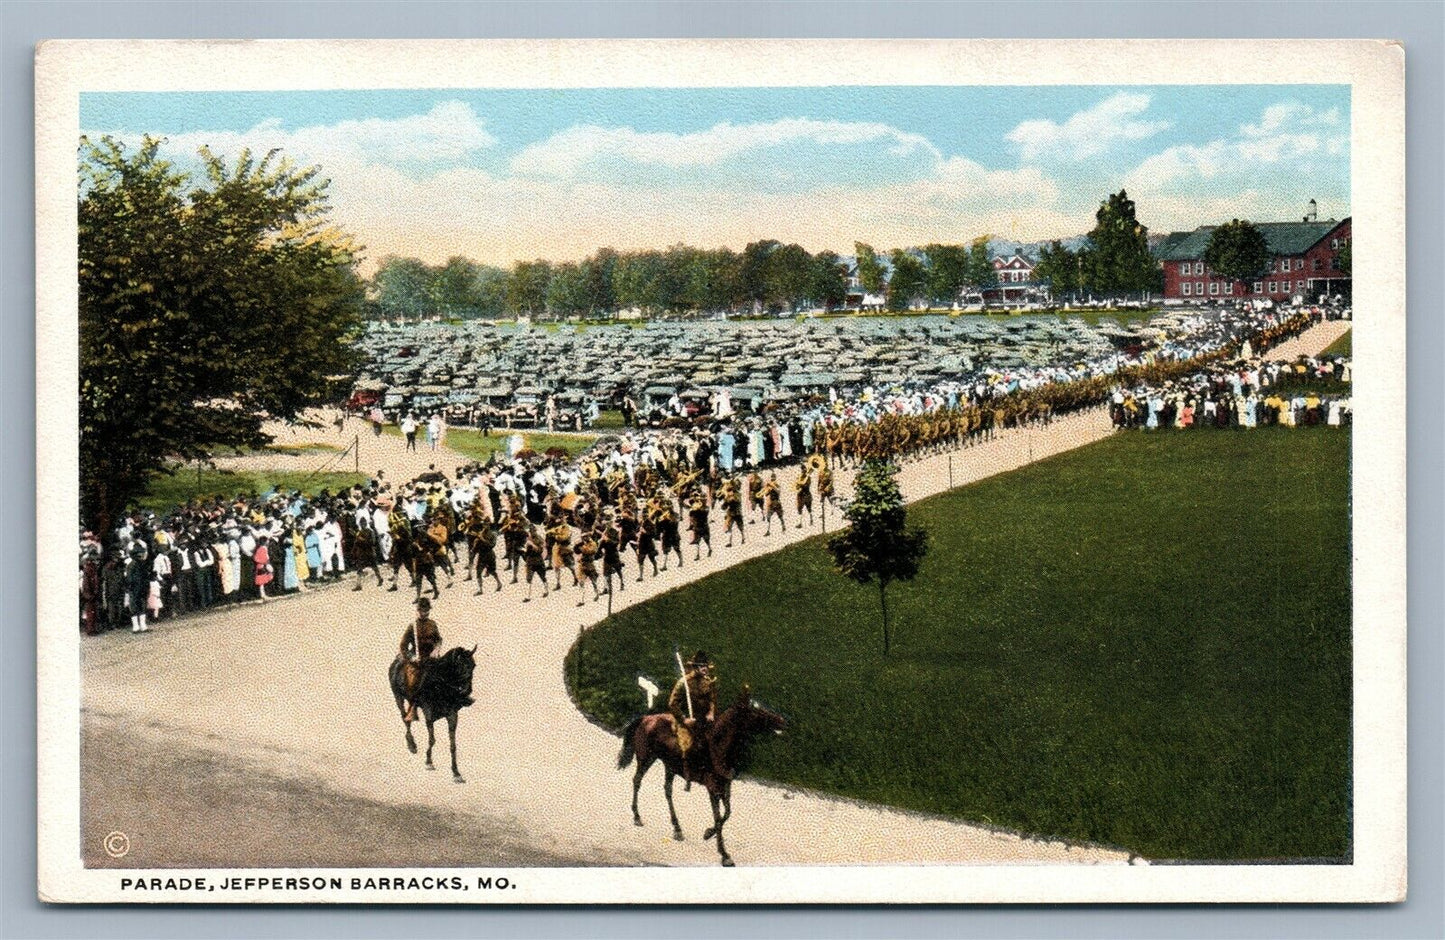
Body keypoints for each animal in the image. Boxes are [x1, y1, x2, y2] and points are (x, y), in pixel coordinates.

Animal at [387, 643, 476, 785]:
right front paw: (429, 762)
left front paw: (456, 773)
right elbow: (432, 739)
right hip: (398, 697)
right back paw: (411, 745)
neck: (441, 686)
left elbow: (453, 745)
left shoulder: (452, 716)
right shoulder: (428, 713)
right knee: (404, 718)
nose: (467, 691)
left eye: (473, 666)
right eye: (459, 665)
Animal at [615, 684, 786, 866]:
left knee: (667, 790)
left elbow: (727, 813)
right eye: (756, 710)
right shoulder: (712, 788)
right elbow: (718, 818)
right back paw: (637, 816)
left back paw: (677, 829)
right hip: (646, 758)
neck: (718, 746)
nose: (782, 721)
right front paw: (724, 854)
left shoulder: (725, 784)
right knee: (637, 781)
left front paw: (708, 833)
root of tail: (646, 718)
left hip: (670, 766)